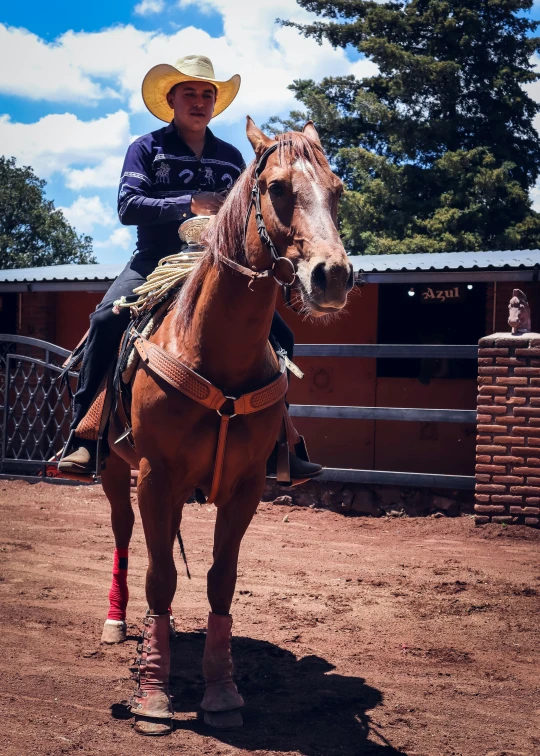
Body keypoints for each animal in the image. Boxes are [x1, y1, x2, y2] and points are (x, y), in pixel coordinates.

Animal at [100, 118, 354, 732]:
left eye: (337, 191)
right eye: (278, 188)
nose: (333, 276)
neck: (211, 347)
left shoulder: (245, 487)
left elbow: (220, 580)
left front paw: (221, 691)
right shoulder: (155, 474)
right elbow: (161, 577)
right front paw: (153, 695)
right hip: (115, 472)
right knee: (125, 535)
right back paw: (118, 623)